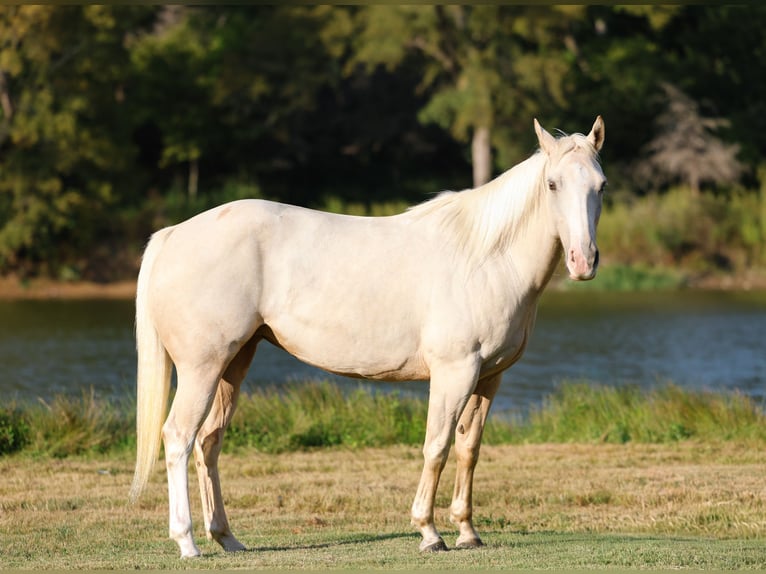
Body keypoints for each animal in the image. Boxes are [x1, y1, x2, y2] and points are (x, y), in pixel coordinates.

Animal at [129, 116, 606, 557]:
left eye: (601, 186)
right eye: (552, 184)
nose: (583, 261)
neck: (486, 257)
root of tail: (173, 234)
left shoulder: (489, 377)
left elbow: (469, 449)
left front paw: (468, 532)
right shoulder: (454, 373)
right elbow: (436, 446)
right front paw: (429, 533)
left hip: (234, 363)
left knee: (208, 442)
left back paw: (227, 538)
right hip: (202, 368)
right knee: (178, 437)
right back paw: (187, 541)